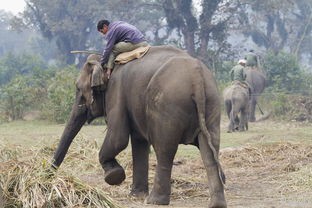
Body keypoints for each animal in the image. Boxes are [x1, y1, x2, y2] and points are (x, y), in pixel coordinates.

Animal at [51, 44, 227, 207]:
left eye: (78, 88)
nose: (49, 175)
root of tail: (197, 78)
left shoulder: (116, 92)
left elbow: (118, 138)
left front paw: (114, 176)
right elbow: (138, 141)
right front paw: (136, 195)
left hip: (167, 106)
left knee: (164, 150)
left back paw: (155, 201)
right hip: (212, 103)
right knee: (209, 152)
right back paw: (216, 204)